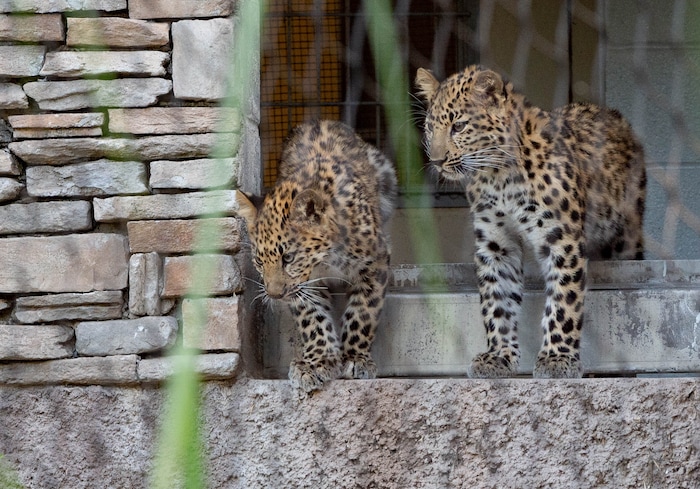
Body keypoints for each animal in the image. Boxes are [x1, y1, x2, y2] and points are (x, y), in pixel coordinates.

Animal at [236, 120, 397, 392]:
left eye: (288, 258)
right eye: (259, 261)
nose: (274, 295)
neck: (327, 260)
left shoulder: (376, 261)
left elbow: (363, 311)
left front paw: (356, 358)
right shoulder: (304, 286)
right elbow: (313, 320)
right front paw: (317, 363)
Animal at [415, 65, 646, 378]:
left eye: (459, 127)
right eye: (430, 128)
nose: (437, 161)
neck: (499, 177)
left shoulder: (562, 239)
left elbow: (564, 299)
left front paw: (557, 358)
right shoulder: (496, 244)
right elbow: (497, 300)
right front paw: (498, 356)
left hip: (627, 236)